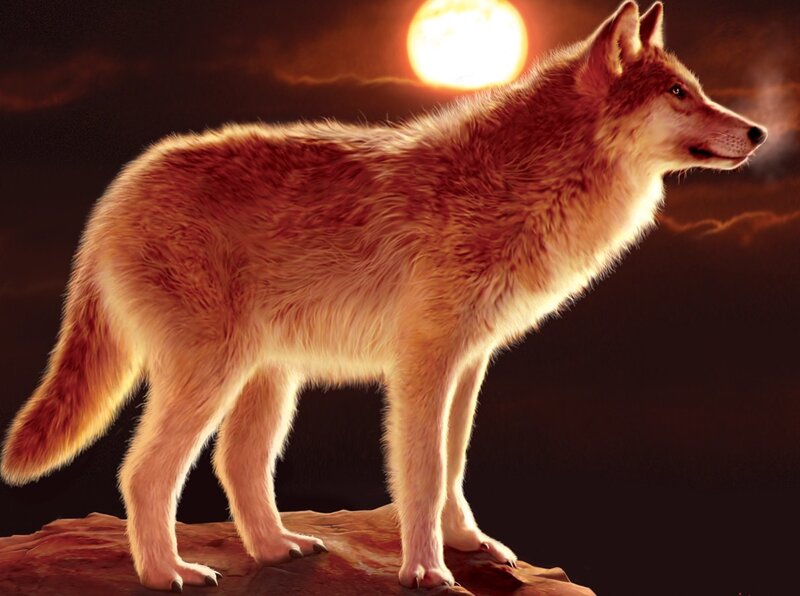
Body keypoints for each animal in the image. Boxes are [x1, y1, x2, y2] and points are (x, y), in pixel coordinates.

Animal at [1, 1, 766, 591]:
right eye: (678, 94)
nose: (759, 131)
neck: (521, 182)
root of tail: (116, 194)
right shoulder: (423, 364)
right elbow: (422, 474)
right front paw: (426, 571)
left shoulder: (469, 364)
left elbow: (454, 466)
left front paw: (468, 545)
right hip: (213, 374)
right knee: (144, 473)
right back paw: (168, 574)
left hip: (268, 379)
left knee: (236, 464)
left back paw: (276, 549)